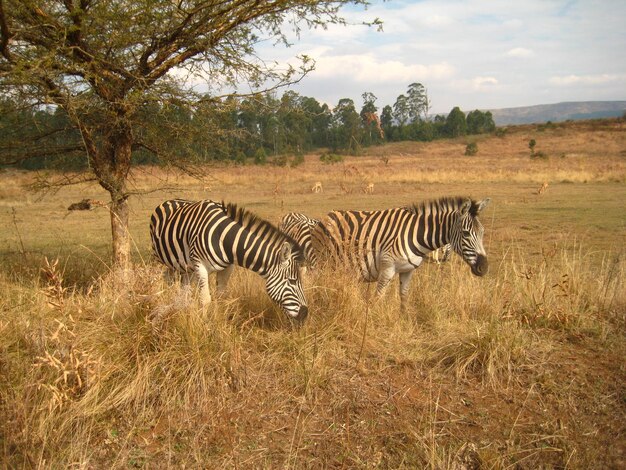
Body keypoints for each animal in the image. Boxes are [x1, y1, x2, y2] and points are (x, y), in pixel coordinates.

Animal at [150, 198, 308, 320]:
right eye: (292, 281)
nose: (305, 314)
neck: (224, 239)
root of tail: (170, 200)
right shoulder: (200, 265)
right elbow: (205, 300)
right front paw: (205, 326)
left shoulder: (227, 267)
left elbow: (221, 297)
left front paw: (219, 323)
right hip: (159, 259)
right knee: (161, 278)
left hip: (186, 267)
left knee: (184, 289)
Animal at [310, 197, 490, 310]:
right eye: (466, 233)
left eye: (482, 232)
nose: (484, 268)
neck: (417, 234)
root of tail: (327, 216)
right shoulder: (387, 268)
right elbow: (377, 298)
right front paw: (374, 322)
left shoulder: (407, 270)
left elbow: (404, 297)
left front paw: (404, 319)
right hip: (324, 262)